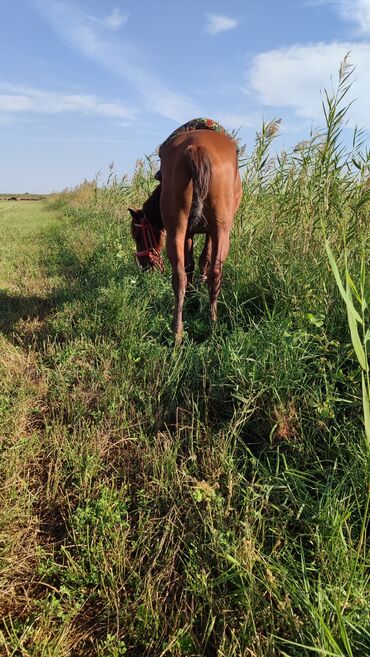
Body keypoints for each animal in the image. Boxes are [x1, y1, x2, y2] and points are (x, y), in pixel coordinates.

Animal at [130, 129, 243, 344]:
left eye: (137, 235)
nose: (144, 266)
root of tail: (197, 148)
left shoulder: (195, 233)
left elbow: (194, 264)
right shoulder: (203, 233)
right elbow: (200, 261)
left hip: (180, 229)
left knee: (183, 276)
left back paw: (181, 330)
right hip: (219, 230)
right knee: (211, 274)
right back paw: (207, 324)